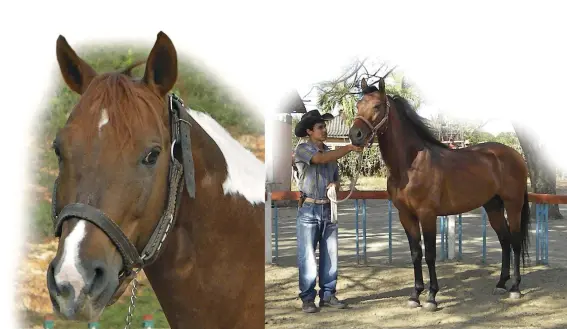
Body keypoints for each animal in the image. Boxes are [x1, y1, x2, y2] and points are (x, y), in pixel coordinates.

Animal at [350, 77, 532, 310]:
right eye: (357, 106)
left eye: (377, 106)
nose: (355, 135)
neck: (410, 165)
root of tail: (514, 155)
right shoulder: (405, 216)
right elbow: (416, 253)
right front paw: (415, 295)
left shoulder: (427, 214)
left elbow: (430, 254)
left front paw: (431, 297)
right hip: (493, 206)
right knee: (504, 240)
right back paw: (501, 284)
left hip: (513, 204)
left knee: (515, 241)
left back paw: (515, 288)